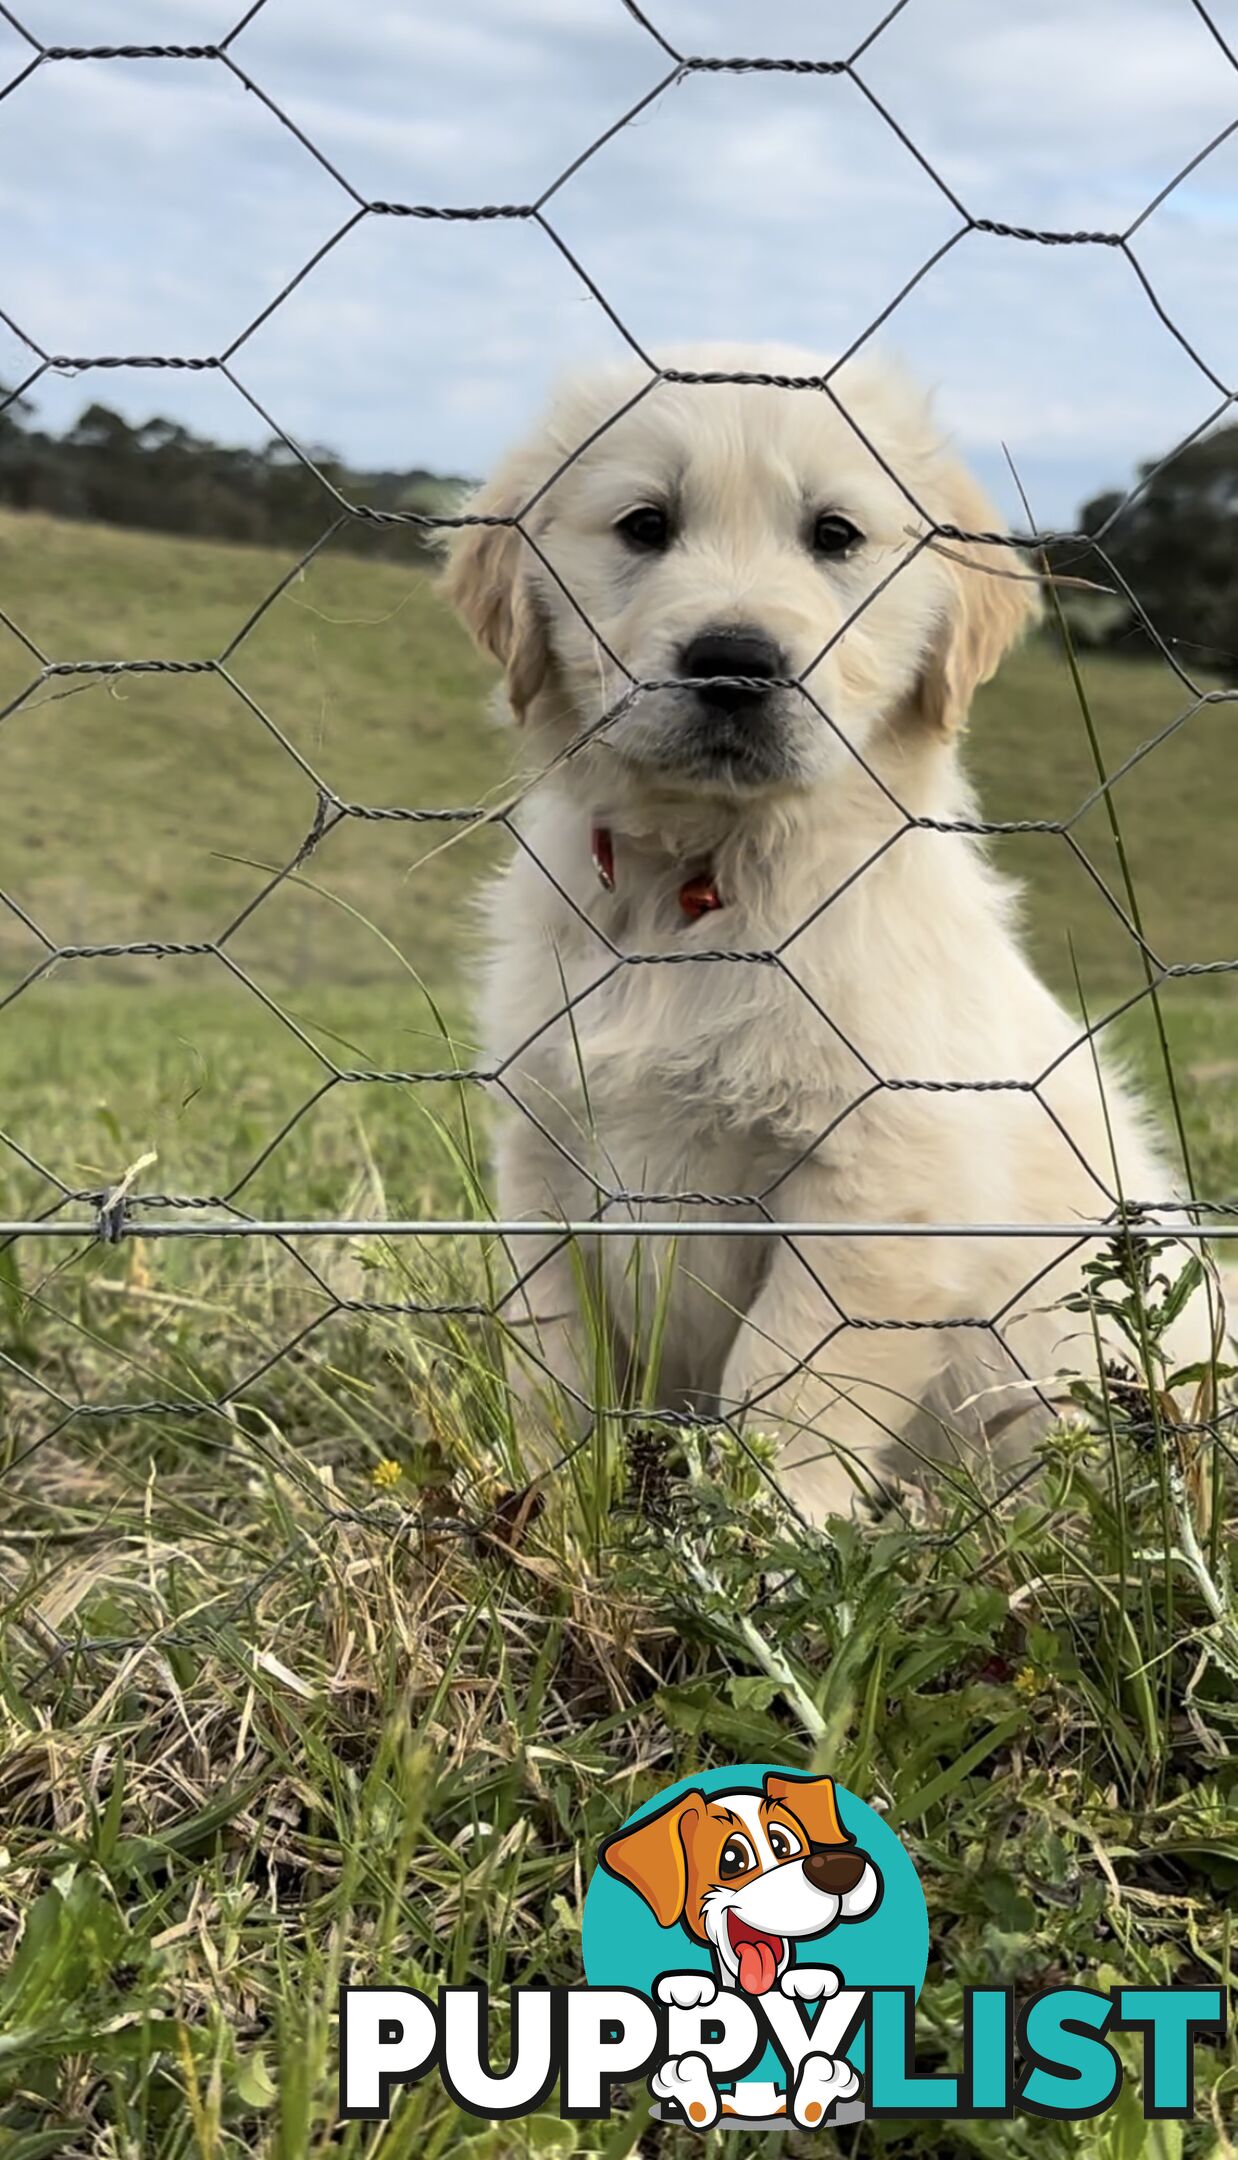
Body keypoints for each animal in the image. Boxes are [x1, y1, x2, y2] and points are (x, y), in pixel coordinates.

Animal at [440, 341, 1209, 1520]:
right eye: (644, 526)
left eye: (834, 536)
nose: (734, 660)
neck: (704, 881)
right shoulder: (545, 1152)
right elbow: (551, 1353)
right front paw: (545, 1499)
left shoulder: (882, 1174)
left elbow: (791, 1376)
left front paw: (768, 1527)